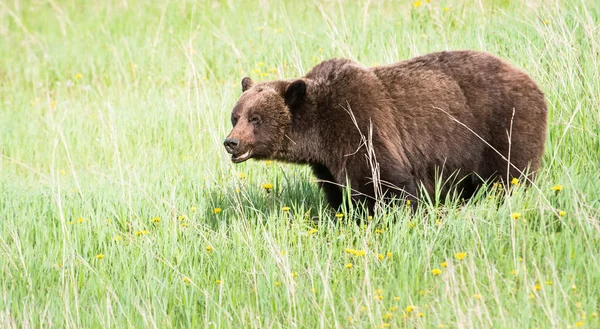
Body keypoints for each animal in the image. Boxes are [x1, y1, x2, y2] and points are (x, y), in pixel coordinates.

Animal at [223, 50, 548, 211]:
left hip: (502, 125)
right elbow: (338, 192)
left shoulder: (361, 126)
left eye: (255, 118)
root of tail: (530, 79)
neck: (318, 134)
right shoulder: (327, 162)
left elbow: (386, 183)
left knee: (507, 176)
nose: (231, 143)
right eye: (235, 116)